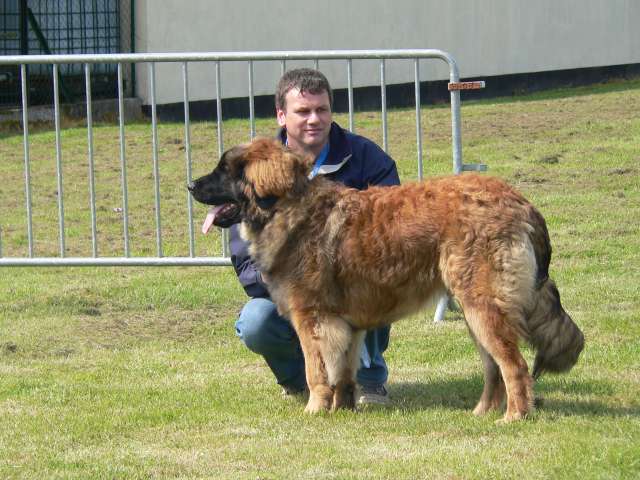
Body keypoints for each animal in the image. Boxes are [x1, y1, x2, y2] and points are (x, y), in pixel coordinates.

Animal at [188, 137, 584, 422]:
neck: (286, 208)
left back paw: (514, 417)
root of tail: (520, 201)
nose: (190, 184)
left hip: (483, 306)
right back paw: (481, 413)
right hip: (477, 313)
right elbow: (343, 373)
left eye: (224, 171)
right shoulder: (345, 325)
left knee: (514, 367)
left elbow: (317, 371)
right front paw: (343, 409)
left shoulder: (312, 318)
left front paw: (315, 410)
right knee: (493, 368)